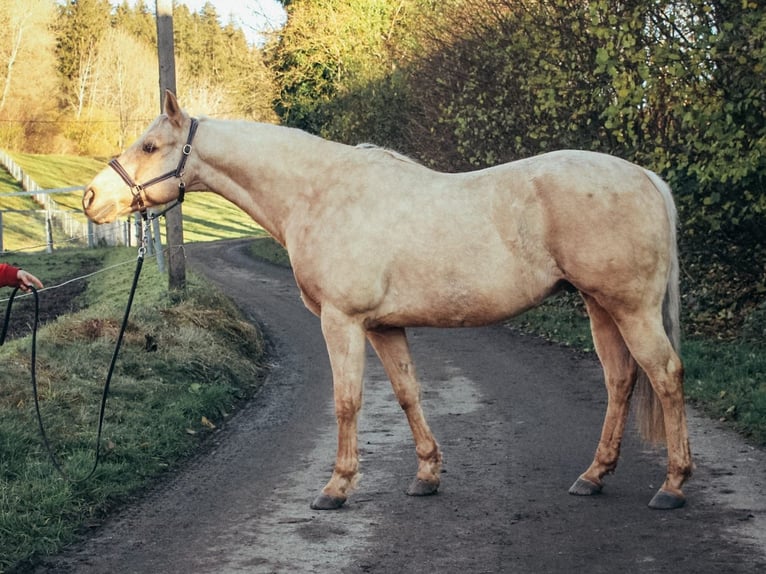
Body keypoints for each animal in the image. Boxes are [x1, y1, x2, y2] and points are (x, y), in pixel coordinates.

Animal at [85, 91, 696, 512]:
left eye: (150, 146)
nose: (93, 198)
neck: (317, 193)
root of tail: (645, 176)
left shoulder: (342, 322)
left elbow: (348, 401)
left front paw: (336, 487)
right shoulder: (383, 327)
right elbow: (406, 394)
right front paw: (426, 476)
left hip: (630, 308)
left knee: (665, 375)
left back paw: (673, 485)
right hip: (600, 306)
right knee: (621, 380)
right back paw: (593, 476)